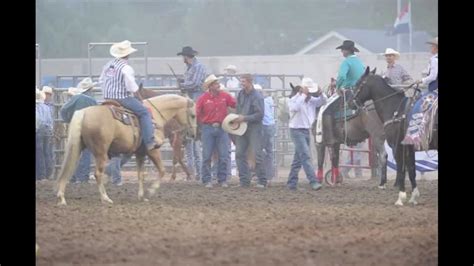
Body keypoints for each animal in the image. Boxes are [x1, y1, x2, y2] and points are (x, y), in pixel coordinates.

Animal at [55, 94, 196, 205]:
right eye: (193, 115)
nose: (193, 134)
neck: (155, 116)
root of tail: (84, 112)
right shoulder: (153, 150)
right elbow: (162, 171)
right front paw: (151, 191)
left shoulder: (140, 153)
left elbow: (140, 175)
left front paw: (141, 196)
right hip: (101, 152)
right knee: (97, 173)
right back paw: (105, 198)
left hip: (78, 146)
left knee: (68, 168)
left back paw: (61, 197)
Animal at [350, 67, 438, 206]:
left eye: (358, 83)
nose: (350, 103)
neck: (396, 110)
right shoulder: (409, 147)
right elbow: (411, 170)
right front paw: (413, 197)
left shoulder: (398, 147)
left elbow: (402, 169)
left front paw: (400, 197)